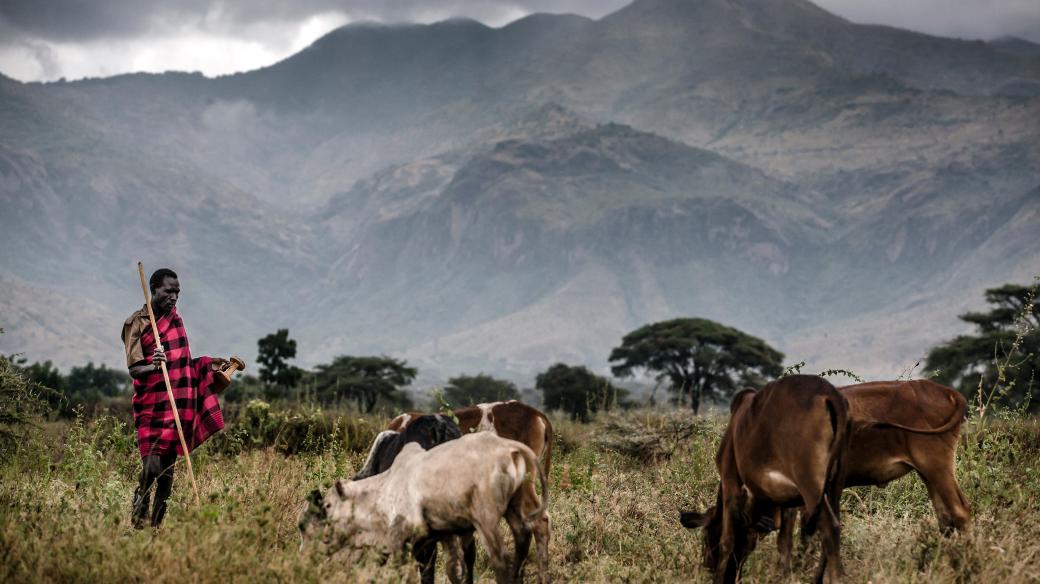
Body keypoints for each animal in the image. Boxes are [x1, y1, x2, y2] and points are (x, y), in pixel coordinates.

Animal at [297, 432, 549, 581]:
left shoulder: (400, 537)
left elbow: (403, 575)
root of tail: (510, 447)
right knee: (528, 534)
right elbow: (451, 571)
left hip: (485, 518)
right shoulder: (442, 535)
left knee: (501, 560)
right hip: (516, 505)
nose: (305, 557)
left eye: (328, 505)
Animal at [678, 372, 848, 581]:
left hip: (810, 485)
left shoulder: (729, 479)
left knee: (830, 528)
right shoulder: (787, 501)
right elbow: (784, 542)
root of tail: (830, 395)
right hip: (834, 485)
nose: (707, 567)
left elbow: (727, 539)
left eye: (706, 535)